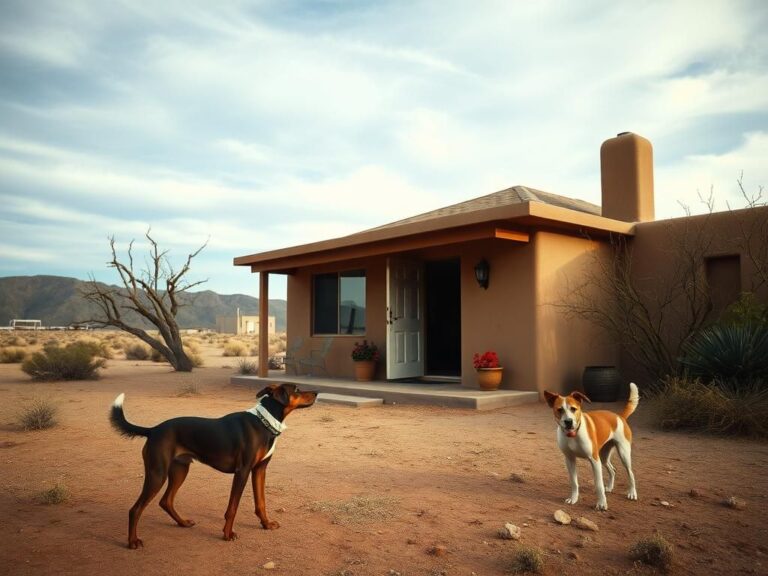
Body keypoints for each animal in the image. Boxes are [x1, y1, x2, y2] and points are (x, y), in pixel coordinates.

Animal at [109, 382, 316, 548]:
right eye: (297, 389)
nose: (317, 392)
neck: (263, 422)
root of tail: (153, 430)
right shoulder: (242, 471)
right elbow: (232, 508)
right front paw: (227, 534)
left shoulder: (259, 470)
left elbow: (261, 503)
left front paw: (266, 524)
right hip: (157, 474)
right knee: (135, 509)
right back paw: (133, 541)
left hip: (180, 470)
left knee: (166, 501)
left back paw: (183, 523)